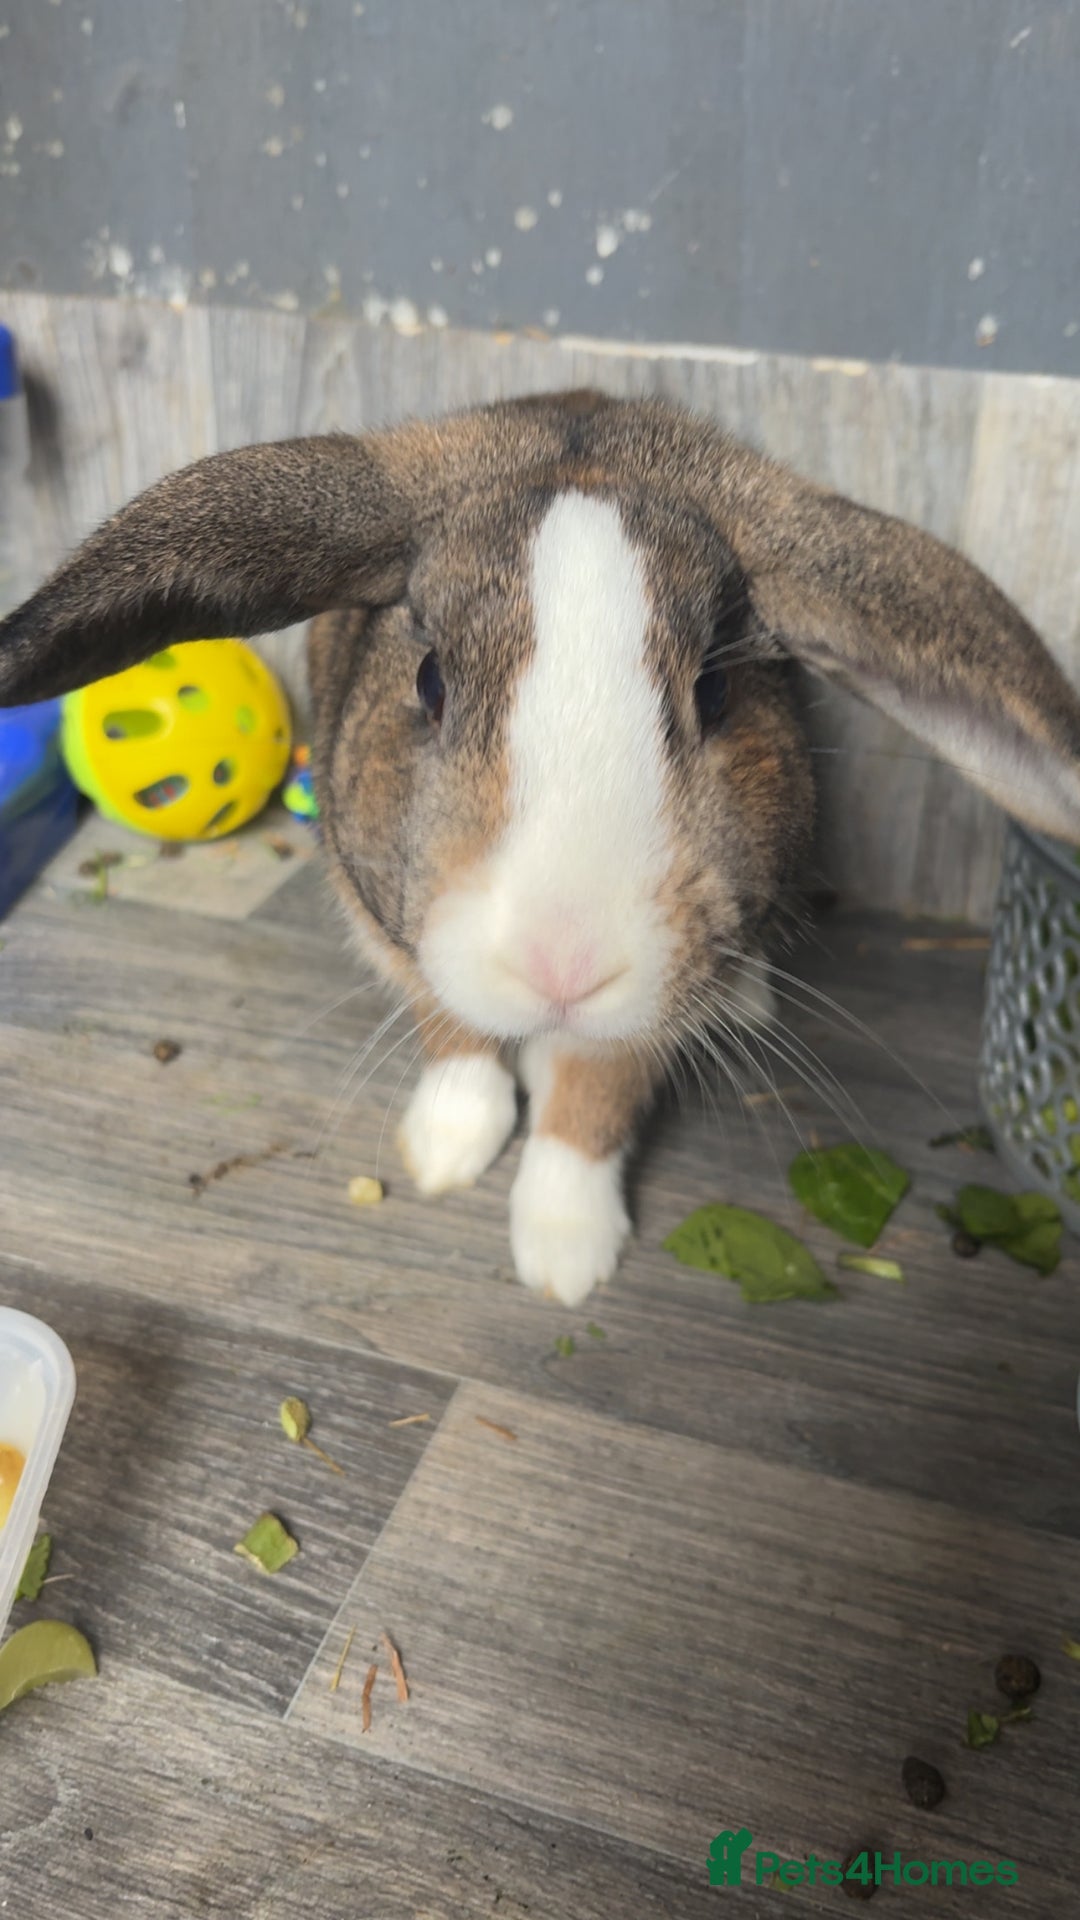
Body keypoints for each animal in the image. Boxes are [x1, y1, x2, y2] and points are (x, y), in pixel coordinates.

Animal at [2, 388, 1079, 1306]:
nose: (564, 962)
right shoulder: (405, 939)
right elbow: (456, 1038)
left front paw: (566, 1259)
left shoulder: (649, 1003)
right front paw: (445, 1156)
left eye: (717, 689)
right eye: (430, 680)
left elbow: (591, 1108)